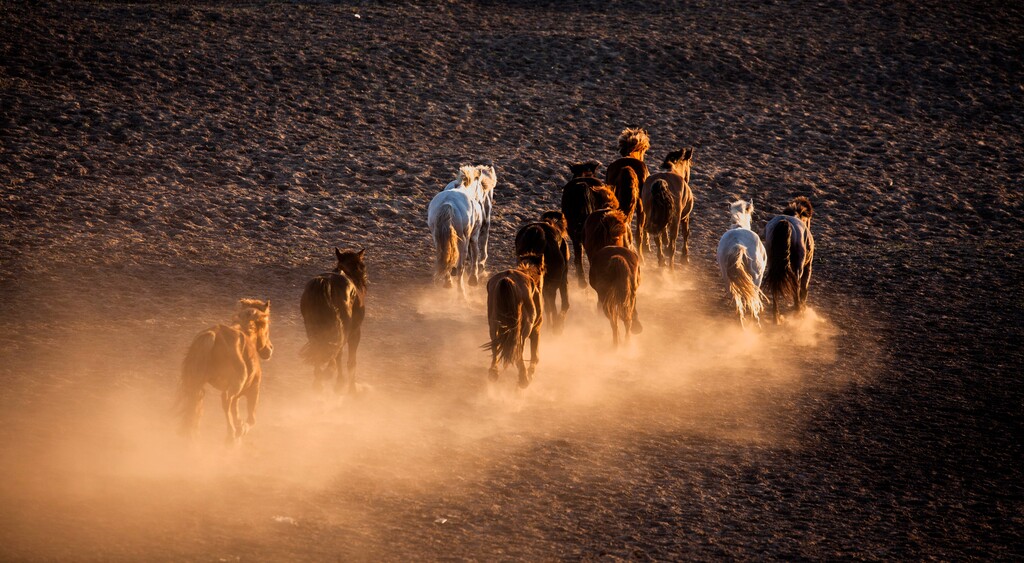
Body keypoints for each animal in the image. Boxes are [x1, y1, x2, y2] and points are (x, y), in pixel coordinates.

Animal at [180, 298, 274, 448]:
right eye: (266, 324)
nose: (269, 349)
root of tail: (213, 335)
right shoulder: (253, 389)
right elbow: (251, 418)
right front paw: (242, 429)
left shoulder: (238, 394)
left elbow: (235, 410)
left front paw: (239, 425)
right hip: (236, 384)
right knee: (225, 400)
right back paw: (231, 434)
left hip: (197, 384)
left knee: (194, 405)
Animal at [299, 247, 368, 397]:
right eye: (362, 265)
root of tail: (325, 283)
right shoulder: (355, 332)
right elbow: (351, 361)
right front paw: (350, 388)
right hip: (343, 329)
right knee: (336, 352)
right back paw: (334, 378)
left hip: (313, 328)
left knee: (319, 349)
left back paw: (319, 382)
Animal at [483, 254, 548, 388]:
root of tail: (507, 278)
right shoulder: (536, 330)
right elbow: (535, 357)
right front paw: (530, 374)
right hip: (524, 330)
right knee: (518, 351)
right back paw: (523, 379)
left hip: (494, 326)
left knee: (495, 348)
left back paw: (493, 373)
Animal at [716, 199, 765, 329]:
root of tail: (737, 243)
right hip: (756, 277)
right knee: (752, 297)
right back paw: (755, 322)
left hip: (727, 279)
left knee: (737, 301)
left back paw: (741, 324)